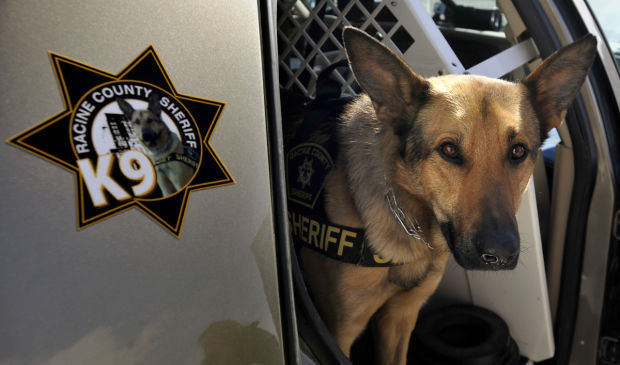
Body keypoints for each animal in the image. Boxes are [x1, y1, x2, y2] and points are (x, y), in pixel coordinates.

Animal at [300, 27, 596, 364]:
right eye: (449, 149)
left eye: (518, 151)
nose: (500, 254)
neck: (411, 226)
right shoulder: (340, 331)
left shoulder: (400, 319)